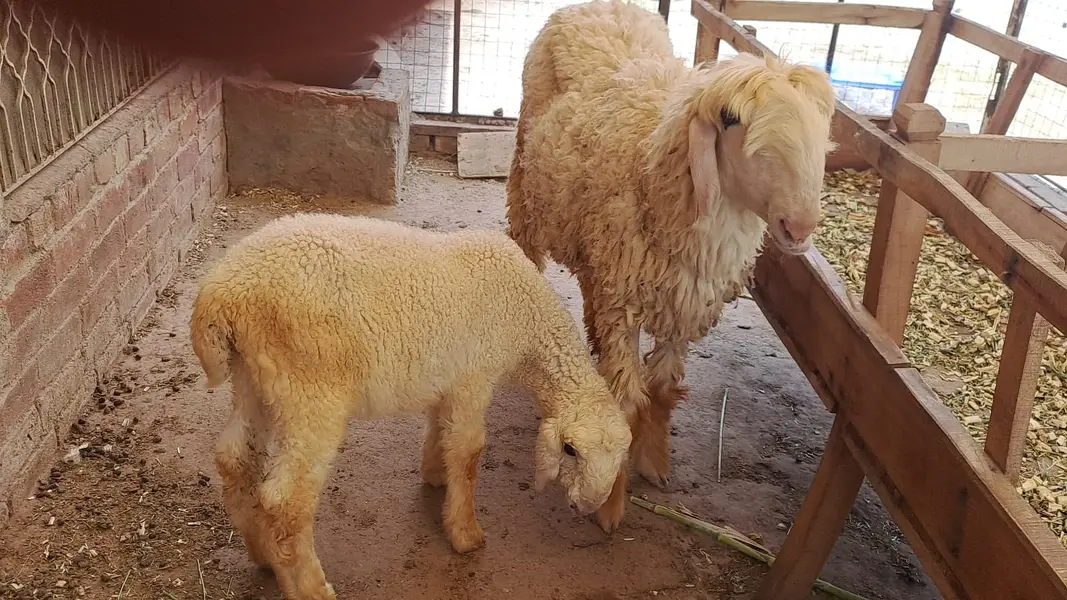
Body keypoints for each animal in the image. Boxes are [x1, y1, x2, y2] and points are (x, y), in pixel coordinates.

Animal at [189, 213, 632, 600]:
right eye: (571, 450)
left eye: (621, 458)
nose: (587, 506)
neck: (529, 326)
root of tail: (220, 294)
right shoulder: (475, 378)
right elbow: (470, 454)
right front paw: (465, 534)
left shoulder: (447, 381)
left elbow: (442, 432)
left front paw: (435, 475)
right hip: (309, 392)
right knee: (285, 499)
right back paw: (311, 588)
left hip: (254, 380)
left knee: (234, 459)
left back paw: (261, 554)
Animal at [505, 0, 837, 533]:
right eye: (730, 120)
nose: (800, 225)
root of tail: (596, 7)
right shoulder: (626, 301)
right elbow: (625, 400)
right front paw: (611, 505)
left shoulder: (684, 306)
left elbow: (660, 390)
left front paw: (654, 464)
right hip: (526, 187)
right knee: (527, 251)